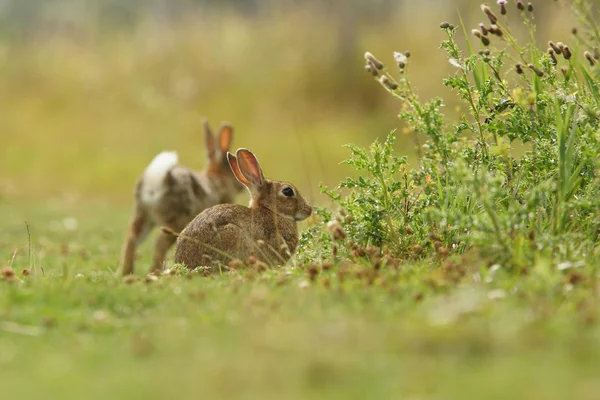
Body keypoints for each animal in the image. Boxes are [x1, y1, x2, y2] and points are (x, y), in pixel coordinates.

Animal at [118, 119, 244, 276]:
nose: (241, 187)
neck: (217, 178)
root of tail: (156, 183)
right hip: (177, 220)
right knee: (159, 242)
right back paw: (157, 271)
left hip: (142, 216)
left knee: (131, 239)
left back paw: (124, 272)